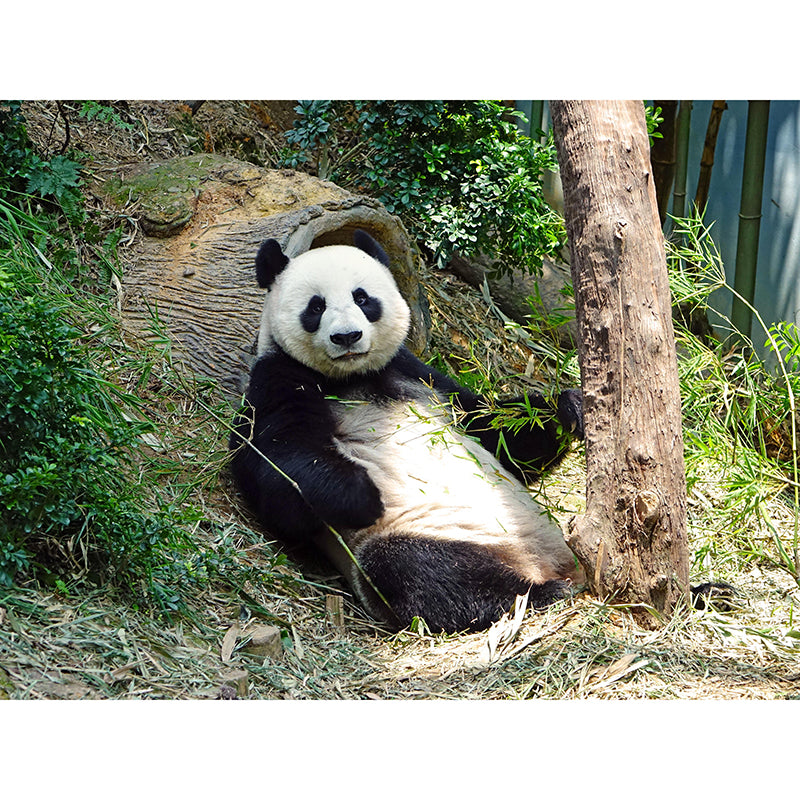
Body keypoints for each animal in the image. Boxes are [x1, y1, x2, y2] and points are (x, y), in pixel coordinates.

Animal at [229, 230, 585, 633]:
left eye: (362, 298)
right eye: (316, 307)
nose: (347, 336)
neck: (353, 377)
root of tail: (538, 562)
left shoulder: (419, 375)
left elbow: (496, 432)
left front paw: (569, 408)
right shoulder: (278, 377)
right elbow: (275, 466)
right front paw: (361, 495)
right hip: (428, 533)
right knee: (422, 571)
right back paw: (537, 594)